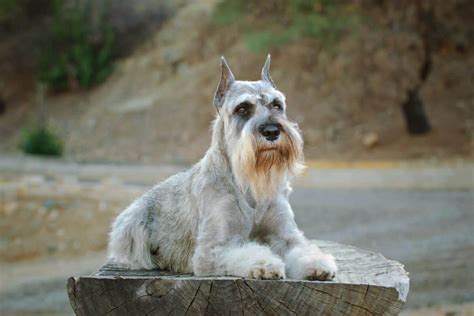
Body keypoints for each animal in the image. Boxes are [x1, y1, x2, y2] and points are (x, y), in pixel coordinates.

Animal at [107, 55, 336, 280]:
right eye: (242, 108)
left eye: (277, 105)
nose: (271, 131)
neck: (249, 185)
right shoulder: (214, 248)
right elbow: (246, 253)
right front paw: (265, 264)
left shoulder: (286, 236)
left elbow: (302, 248)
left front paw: (317, 263)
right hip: (131, 226)